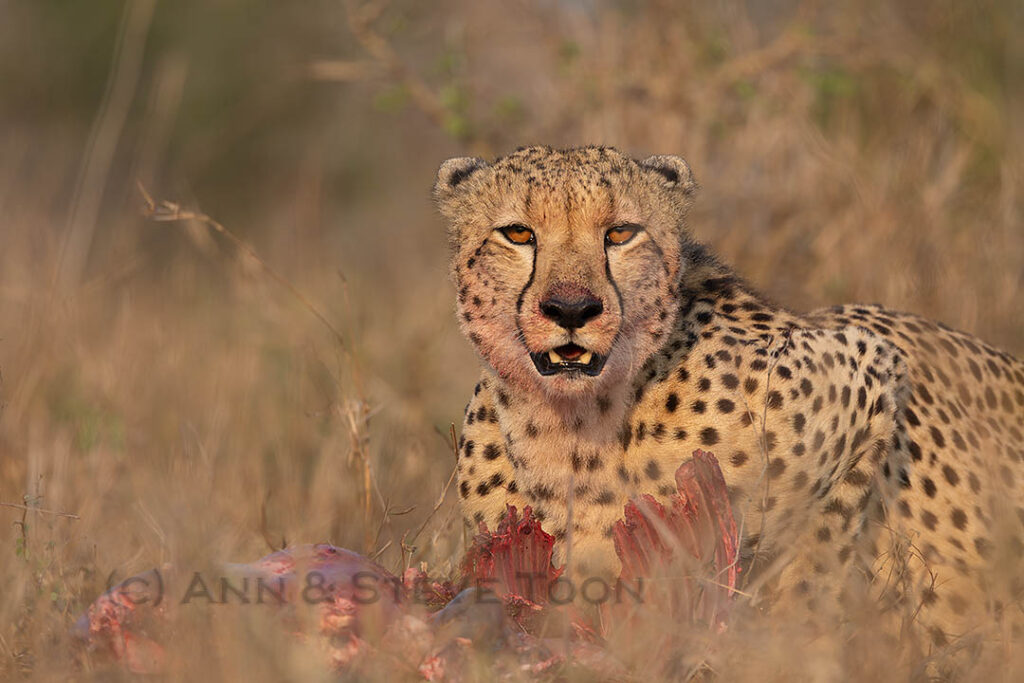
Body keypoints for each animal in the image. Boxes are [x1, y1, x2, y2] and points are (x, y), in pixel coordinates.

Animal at [433, 145, 1024, 651]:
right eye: (517, 233)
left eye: (621, 233)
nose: (572, 308)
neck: (573, 424)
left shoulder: (868, 364)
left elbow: (815, 557)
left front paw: (789, 645)